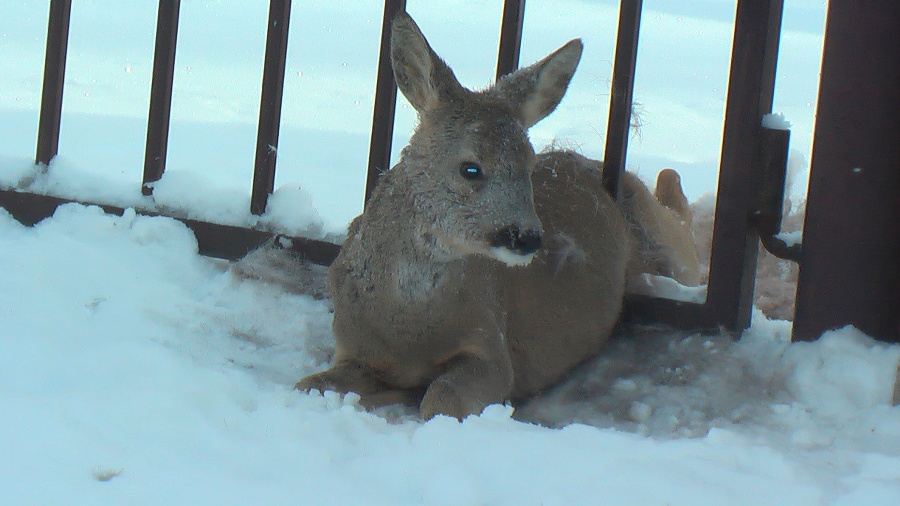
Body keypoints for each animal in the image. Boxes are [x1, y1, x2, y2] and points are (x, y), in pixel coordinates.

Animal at [292, 14, 700, 420]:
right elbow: (308, 386)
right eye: (470, 169)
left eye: (530, 165)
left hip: (668, 246)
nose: (527, 236)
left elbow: (440, 399)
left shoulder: (491, 342)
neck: (405, 329)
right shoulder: (352, 345)